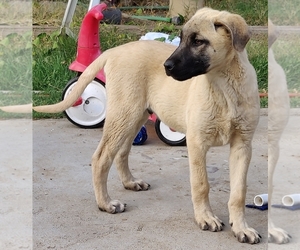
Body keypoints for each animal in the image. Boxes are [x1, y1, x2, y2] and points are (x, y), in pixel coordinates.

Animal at [34, 7, 262, 244]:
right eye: (181, 38)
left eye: (198, 41)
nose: (166, 67)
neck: (225, 87)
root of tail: (114, 51)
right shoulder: (197, 143)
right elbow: (201, 184)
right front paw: (205, 218)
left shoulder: (242, 145)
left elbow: (238, 193)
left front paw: (241, 227)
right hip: (123, 115)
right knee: (101, 158)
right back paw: (105, 203)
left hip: (135, 116)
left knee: (122, 152)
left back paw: (129, 182)